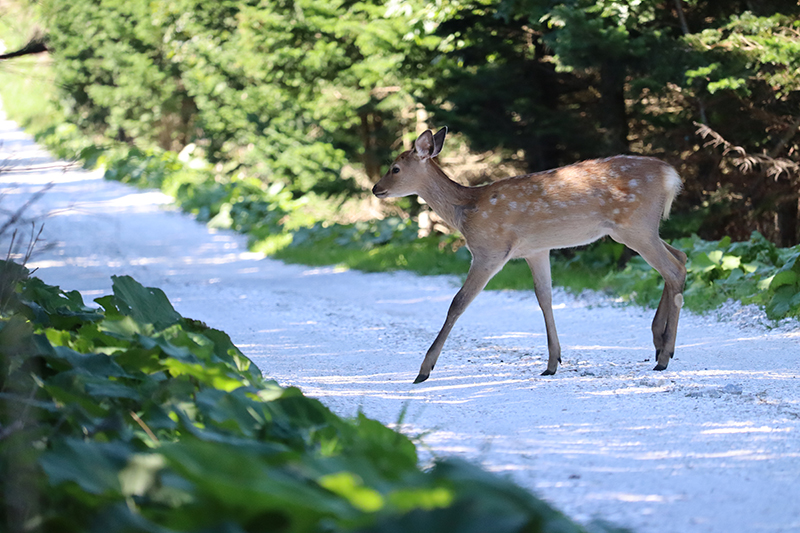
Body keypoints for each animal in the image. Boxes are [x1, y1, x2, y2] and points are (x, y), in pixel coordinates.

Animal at [372, 126, 684, 380]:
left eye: (395, 168)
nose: (376, 189)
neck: (467, 211)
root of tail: (671, 176)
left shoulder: (490, 249)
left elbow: (458, 302)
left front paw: (424, 370)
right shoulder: (536, 249)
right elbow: (544, 297)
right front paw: (552, 363)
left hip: (634, 225)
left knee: (673, 269)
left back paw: (664, 355)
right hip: (642, 228)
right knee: (680, 256)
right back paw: (659, 344)